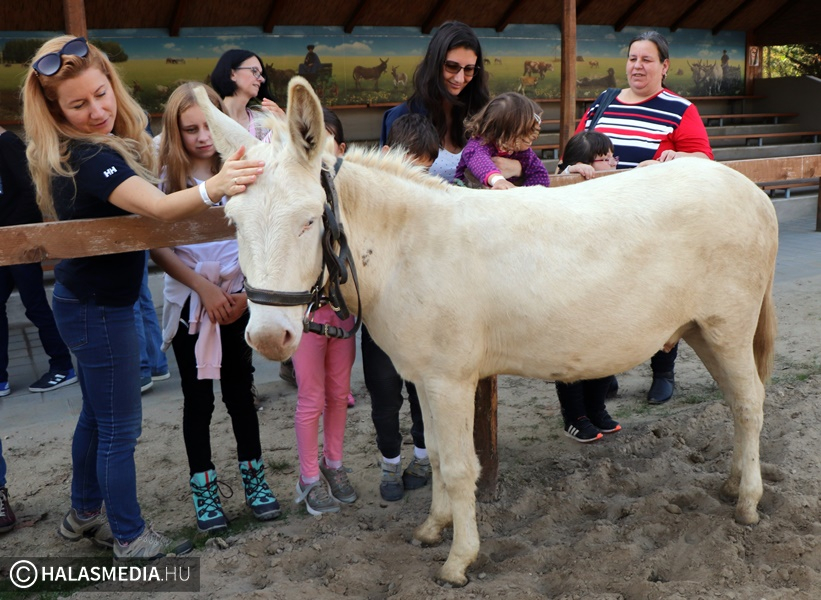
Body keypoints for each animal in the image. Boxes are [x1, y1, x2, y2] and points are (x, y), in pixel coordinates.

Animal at [194, 78, 778, 587]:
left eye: (310, 220)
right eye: (233, 222)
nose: (268, 339)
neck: (406, 248)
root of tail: (749, 187)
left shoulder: (450, 381)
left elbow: (457, 466)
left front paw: (459, 561)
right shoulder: (424, 378)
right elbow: (432, 455)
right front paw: (433, 528)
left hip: (727, 327)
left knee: (751, 403)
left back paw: (749, 502)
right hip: (700, 329)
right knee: (735, 403)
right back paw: (731, 483)